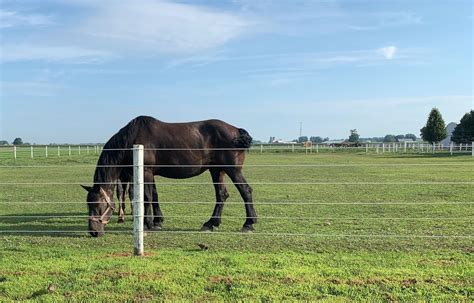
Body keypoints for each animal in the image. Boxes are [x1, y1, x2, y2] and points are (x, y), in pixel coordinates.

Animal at [83, 116, 258, 238]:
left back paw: (248, 224)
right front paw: (157, 221)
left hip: (233, 170)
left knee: (245, 191)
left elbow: (146, 197)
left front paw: (146, 225)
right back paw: (210, 224)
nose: (93, 232)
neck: (132, 140)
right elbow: (154, 196)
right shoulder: (150, 174)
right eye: (88, 205)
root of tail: (237, 131)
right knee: (222, 194)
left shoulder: (146, 172)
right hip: (217, 171)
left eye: (98, 206)